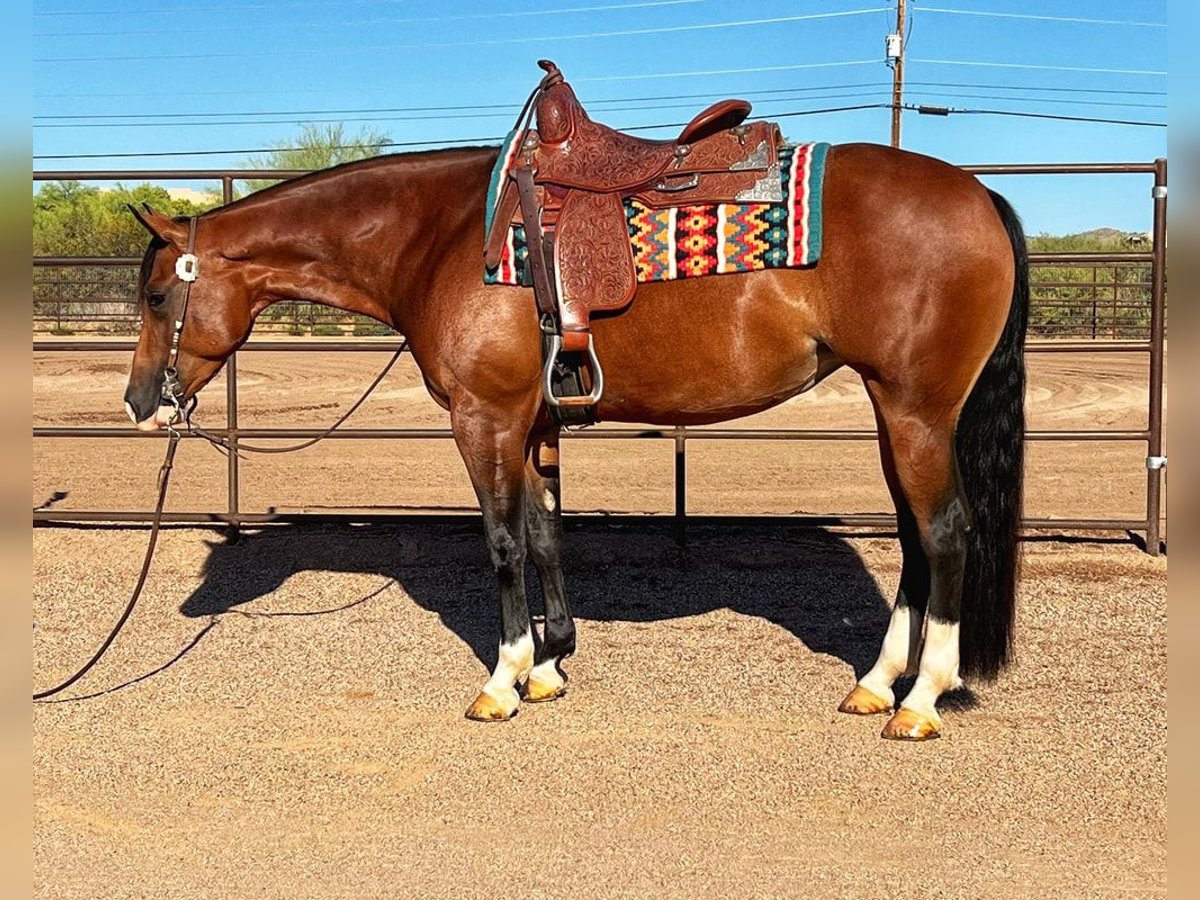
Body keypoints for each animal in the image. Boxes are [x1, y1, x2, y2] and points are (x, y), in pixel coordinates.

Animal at [124, 140, 1027, 740]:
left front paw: (503, 679)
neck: (440, 238)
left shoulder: (482, 417)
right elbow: (542, 532)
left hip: (916, 409)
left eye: (159, 295)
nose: (139, 403)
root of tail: (979, 195)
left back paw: (920, 700)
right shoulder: (530, 424)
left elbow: (499, 542)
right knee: (913, 538)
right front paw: (551, 664)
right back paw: (877, 683)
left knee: (945, 532)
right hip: (893, 410)